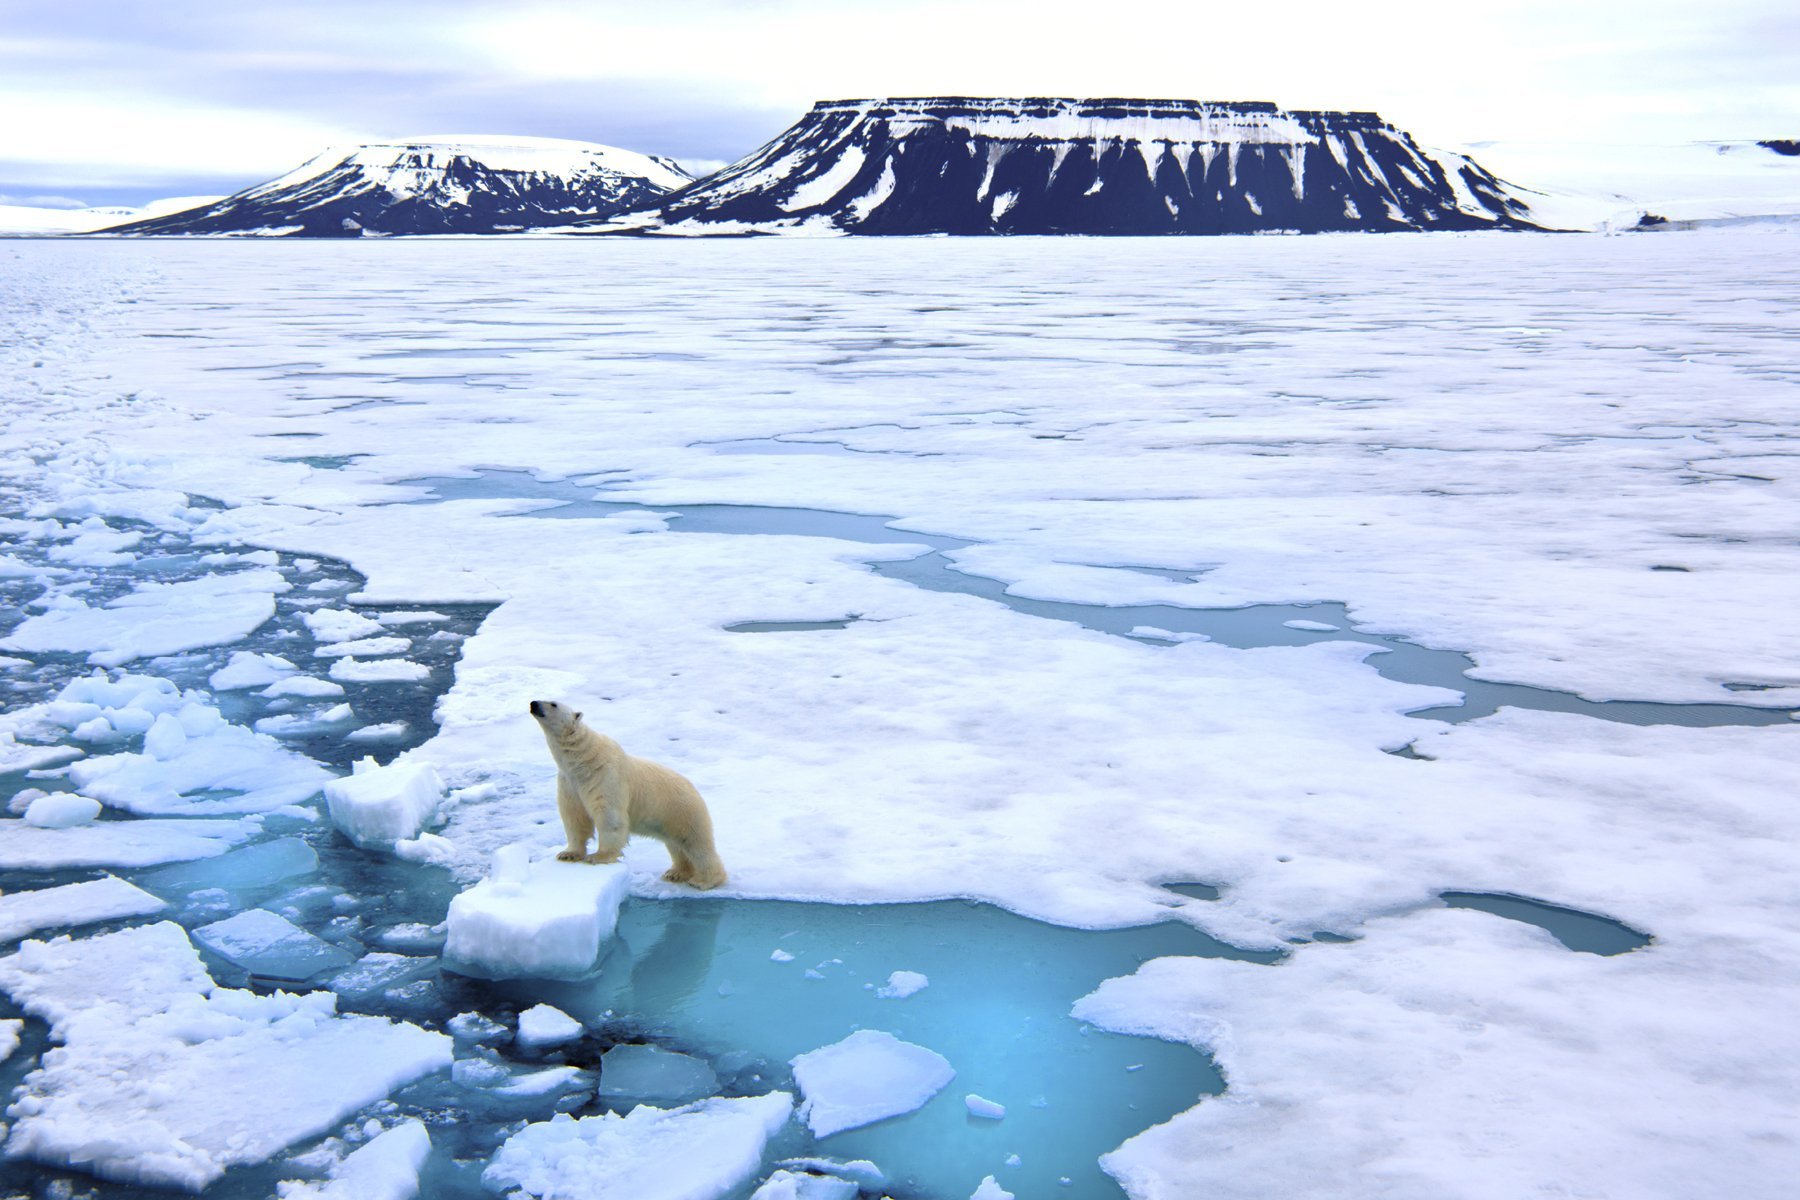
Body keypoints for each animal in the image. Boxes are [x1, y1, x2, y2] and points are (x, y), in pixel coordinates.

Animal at [529, 694, 727, 892]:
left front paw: (599, 856)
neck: (583, 760)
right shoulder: (570, 783)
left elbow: (610, 816)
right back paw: (676, 873)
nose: (534, 703)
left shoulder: (606, 776)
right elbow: (575, 817)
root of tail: (694, 788)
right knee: (676, 845)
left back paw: (705, 880)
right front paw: (568, 854)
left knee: (696, 844)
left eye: (553, 704)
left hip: (682, 810)